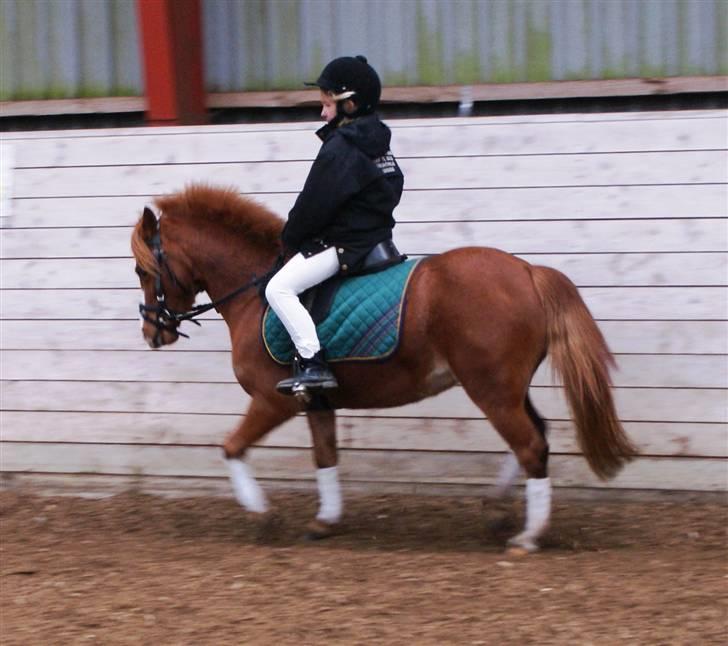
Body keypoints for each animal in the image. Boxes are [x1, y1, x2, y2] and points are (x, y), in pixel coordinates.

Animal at [134, 185, 636, 556]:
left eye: (142, 270)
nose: (153, 333)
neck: (253, 292)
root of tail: (528, 272)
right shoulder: (316, 401)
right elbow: (325, 456)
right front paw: (325, 521)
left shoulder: (273, 401)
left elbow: (231, 447)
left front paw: (262, 515)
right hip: (509, 388)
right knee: (536, 438)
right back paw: (497, 510)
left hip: (492, 390)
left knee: (530, 444)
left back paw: (527, 537)